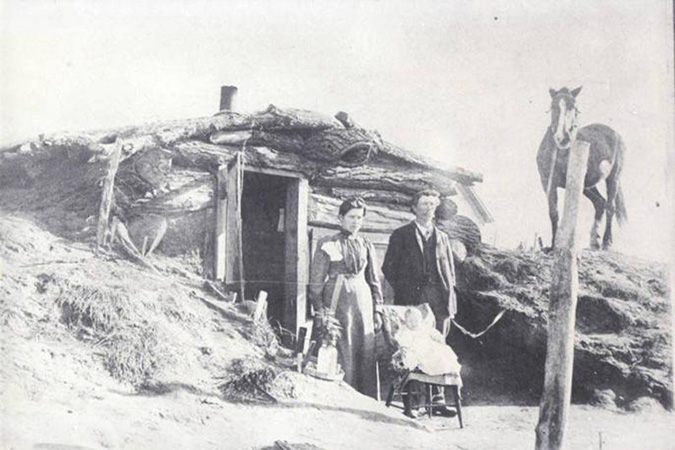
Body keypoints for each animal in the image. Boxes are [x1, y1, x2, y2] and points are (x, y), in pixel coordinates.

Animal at [540, 86, 628, 250]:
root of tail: (615, 134)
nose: (563, 138)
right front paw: (553, 245)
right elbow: (553, 212)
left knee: (610, 206)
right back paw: (595, 240)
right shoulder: (547, 183)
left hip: (613, 178)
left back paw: (606, 242)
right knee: (600, 203)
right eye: (553, 106)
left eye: (574, 107)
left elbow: (571, 212)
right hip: (588, 186)